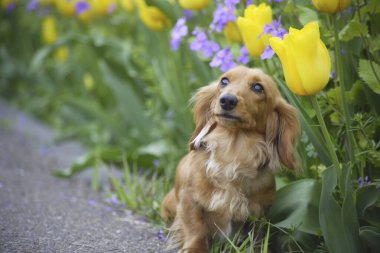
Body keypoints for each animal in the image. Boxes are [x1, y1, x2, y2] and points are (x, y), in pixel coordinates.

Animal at [160, 66, 300, 252]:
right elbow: (195, 227)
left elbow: (256, 237)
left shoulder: (259, 211)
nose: (227, 100)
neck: (232, 153)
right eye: (224, 81)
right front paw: (194, 248)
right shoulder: (188, 198)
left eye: (258, 87)